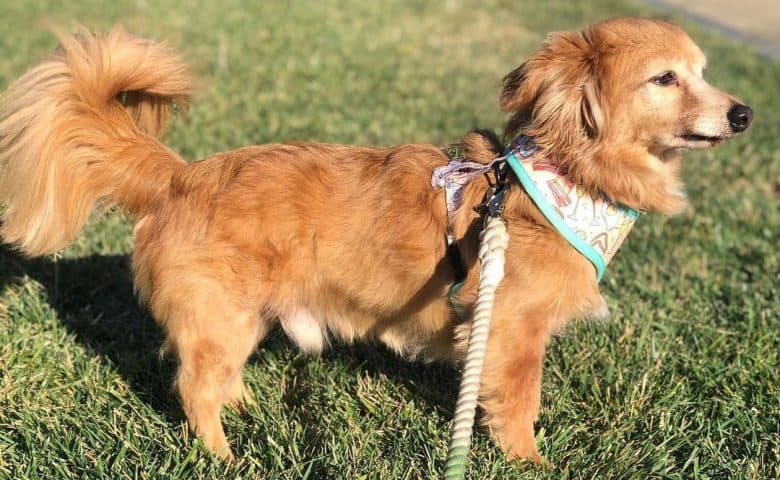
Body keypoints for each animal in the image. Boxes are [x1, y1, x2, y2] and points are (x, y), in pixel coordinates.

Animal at [0, 17, 748, 462]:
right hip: (222, 316)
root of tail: (181, 177)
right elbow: (520, 404)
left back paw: (249, 410)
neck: (564, 178)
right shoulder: (511, 330)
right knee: (194, 389)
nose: (743, 113)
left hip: (241, 316)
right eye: (664, 78)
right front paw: (530, 462)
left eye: (704, 72)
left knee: (217, 377)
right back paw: (224, 456)